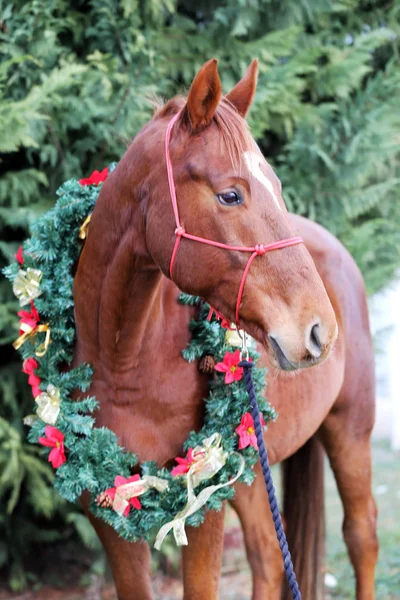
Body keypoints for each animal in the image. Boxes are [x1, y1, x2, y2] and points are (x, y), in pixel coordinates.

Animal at [73, 57, 376, 600]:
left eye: (277, 189)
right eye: (230, 194)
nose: (318, 330)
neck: (125, 364)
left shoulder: (201, 513)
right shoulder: (110, 519)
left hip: (351, 430)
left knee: (361, 536)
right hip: (252, 473)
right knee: (269, 559)